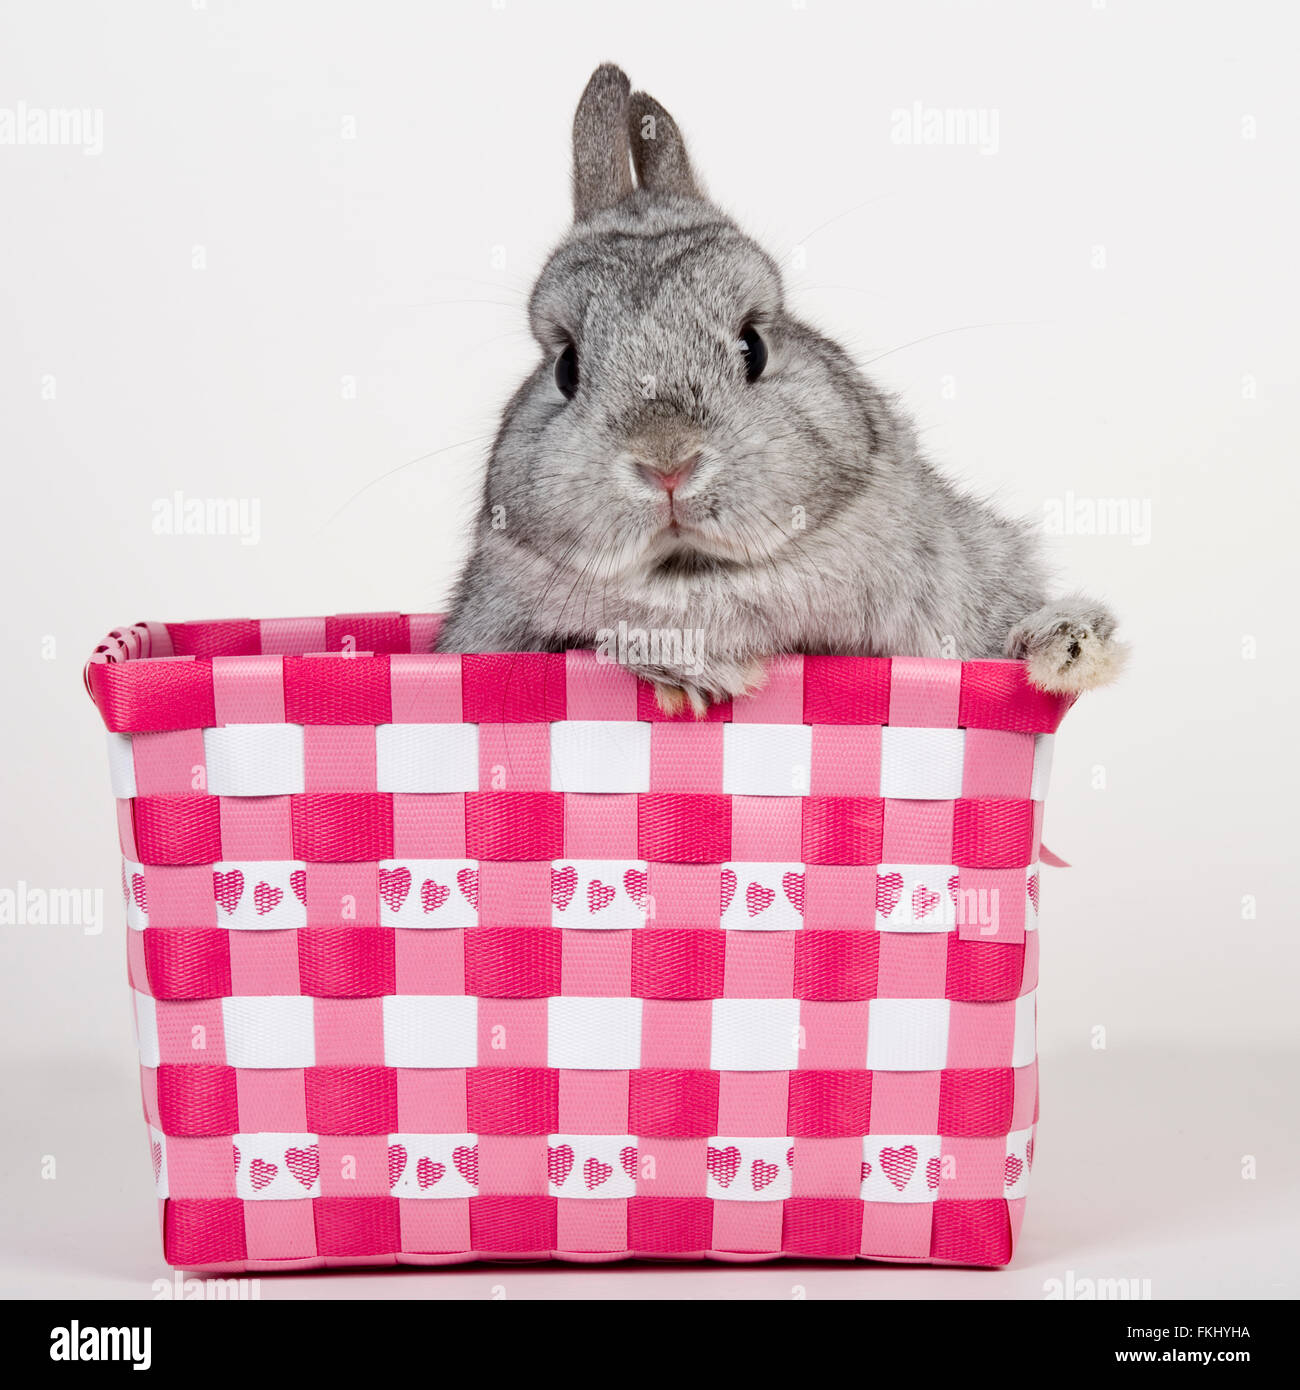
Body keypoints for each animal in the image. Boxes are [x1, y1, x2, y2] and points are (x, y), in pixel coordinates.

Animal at [436, 63, 1127, 714]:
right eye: (566, 369)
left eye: (754, 346)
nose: (667, 463)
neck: (696, 579)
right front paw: (697, 671)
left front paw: (1070, 645)